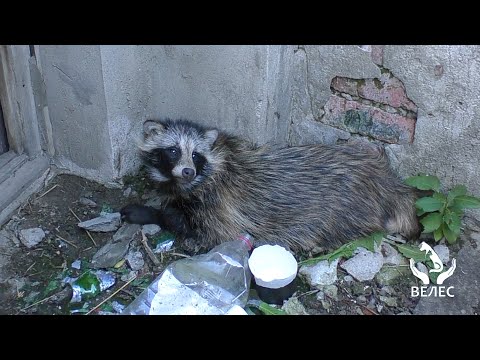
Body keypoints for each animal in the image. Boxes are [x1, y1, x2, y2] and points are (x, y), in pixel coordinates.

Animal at [121, 119, 420, 253]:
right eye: (172, 151)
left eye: (195, 155)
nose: (187, 170)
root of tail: (387, 180)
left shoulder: (219, 205)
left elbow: (204, 232)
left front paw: (156, 213)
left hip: (346, 207)